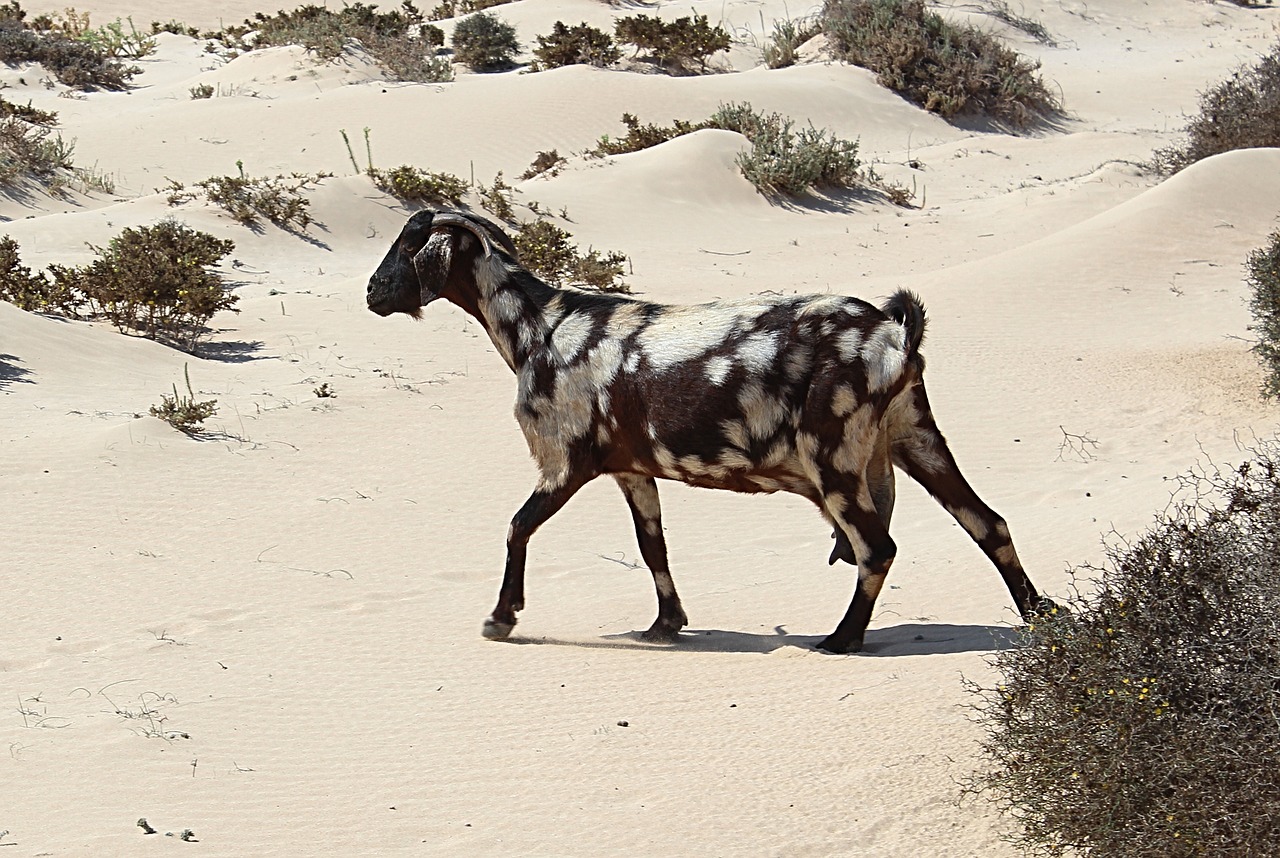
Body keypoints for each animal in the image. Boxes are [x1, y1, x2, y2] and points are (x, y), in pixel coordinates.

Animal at [366, 208, 1054, 653]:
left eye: (406, 244)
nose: (372, 293)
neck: (542, 325)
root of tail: (894, 333)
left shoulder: (567, 462)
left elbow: (517, 527)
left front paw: (501, 618)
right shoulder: (631, 469)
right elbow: (653, 547)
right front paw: (666, 623)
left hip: (833, 455)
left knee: (876, 547)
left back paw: (842, 639)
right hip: (914, 435)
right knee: (987, 523)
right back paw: (1041, 617)